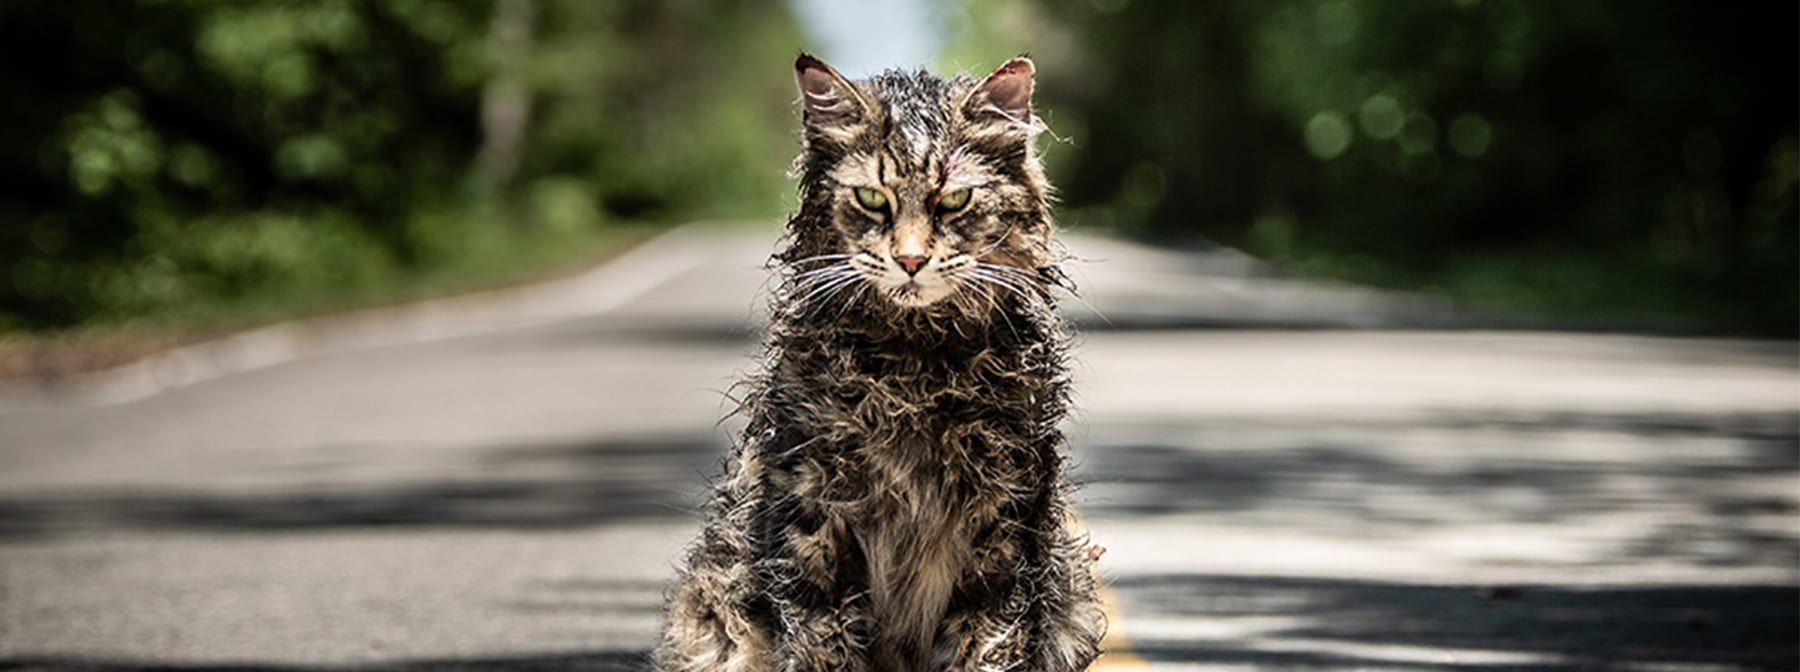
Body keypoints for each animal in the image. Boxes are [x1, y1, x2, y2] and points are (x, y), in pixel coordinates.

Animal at [655, 53, 1101, 670]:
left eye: (953, 201)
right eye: (872, 199)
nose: (910, 260)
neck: (915, 369)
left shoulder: (1005, 521)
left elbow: (988, 642)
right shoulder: (812, 513)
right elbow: (823, 641)